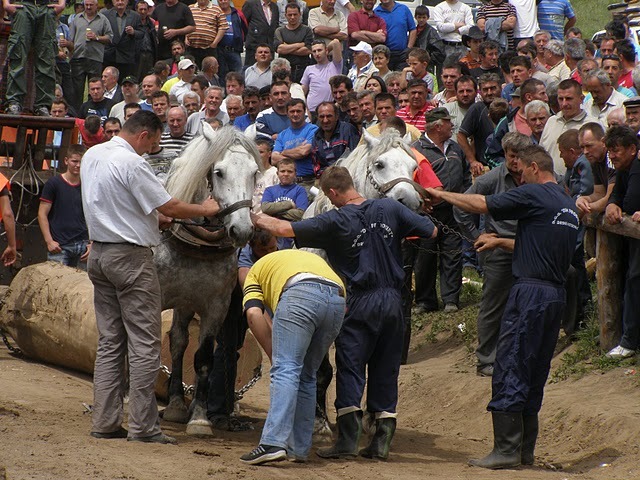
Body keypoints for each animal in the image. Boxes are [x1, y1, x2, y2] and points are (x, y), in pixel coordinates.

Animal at [154, 124, 262, 436]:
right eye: (219, 172)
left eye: (254, 172)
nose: (242, 230)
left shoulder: (216, 305)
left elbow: (203, 358)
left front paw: (200, 418)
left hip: (187, 301)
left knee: (178, 341)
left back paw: (177, 404)